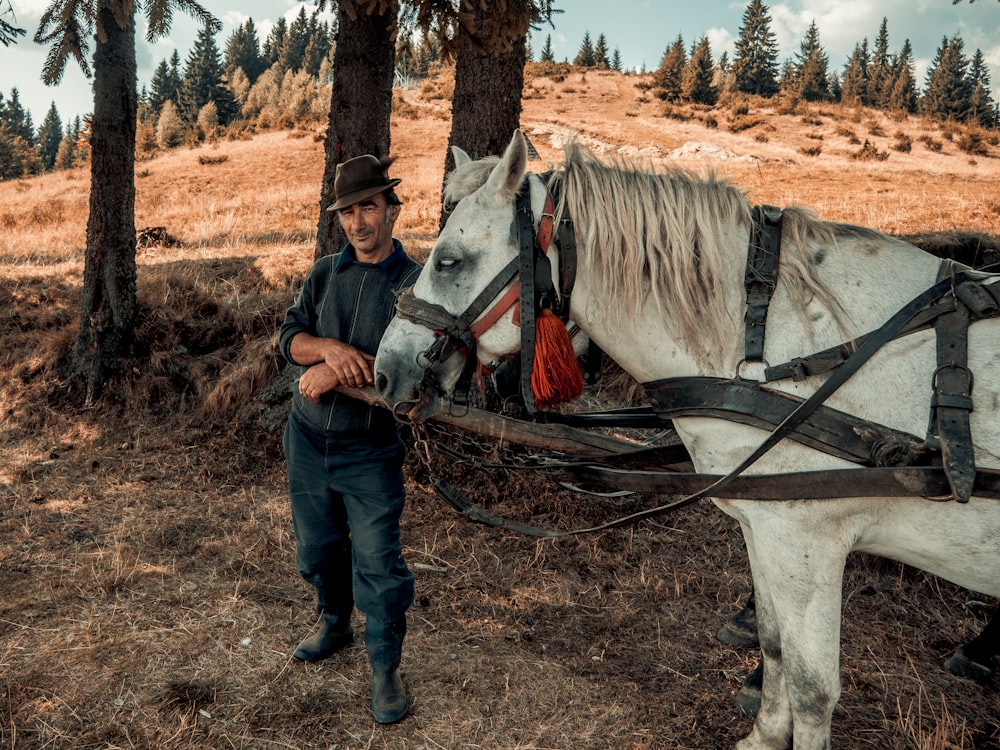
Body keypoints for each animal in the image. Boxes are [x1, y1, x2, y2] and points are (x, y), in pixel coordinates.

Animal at [376, 132, 1000, 748]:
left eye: (449, 261)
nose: (386, 372)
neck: (769, 347)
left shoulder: (805, 540)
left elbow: (812, 689)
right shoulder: (765, 529)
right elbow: (773, 642)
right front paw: (762, 735)